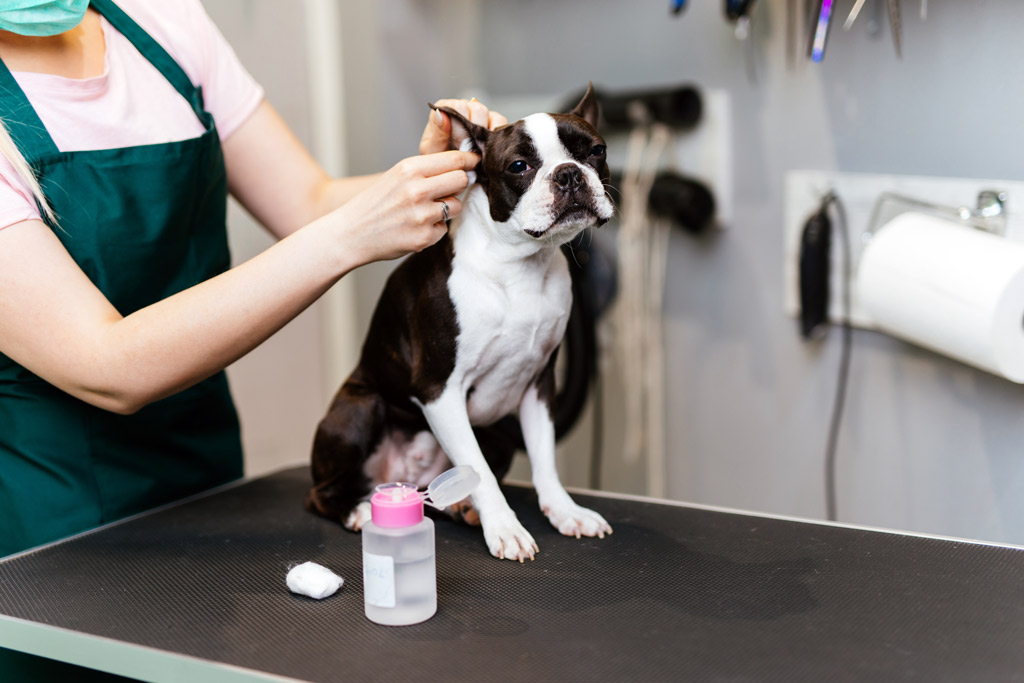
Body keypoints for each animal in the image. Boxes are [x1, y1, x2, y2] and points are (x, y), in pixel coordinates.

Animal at [303, 85, 610, 561]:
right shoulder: (439, 391)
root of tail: (402, 480)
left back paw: (459, 507)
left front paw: (565, 511)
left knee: (449, 487)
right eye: (519, 166)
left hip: (495, 436)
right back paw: (357, 509)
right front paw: (504, 527)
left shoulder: (540, 385)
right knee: (321, 493)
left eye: (595, 151)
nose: (569, 174)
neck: (522, 267)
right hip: (360, 408)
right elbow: (478, 470)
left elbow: (544, 460)